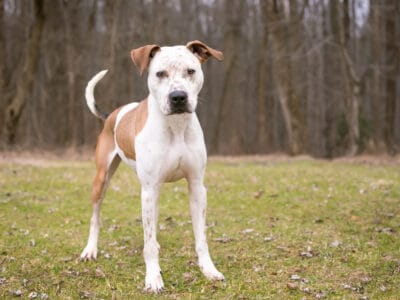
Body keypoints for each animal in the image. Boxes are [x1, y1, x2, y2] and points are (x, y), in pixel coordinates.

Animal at [80, 41, 225, 292]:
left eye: (191, 71)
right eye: (160, 73)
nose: (178, 97)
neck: (176, 125)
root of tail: (111, 116)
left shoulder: (197, 187)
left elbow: (201, 237)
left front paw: (208, 269)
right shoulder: (147, 190)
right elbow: (148, 241)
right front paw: (153, 278)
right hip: (102, 179)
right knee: (95, 217)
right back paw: (90, 249)